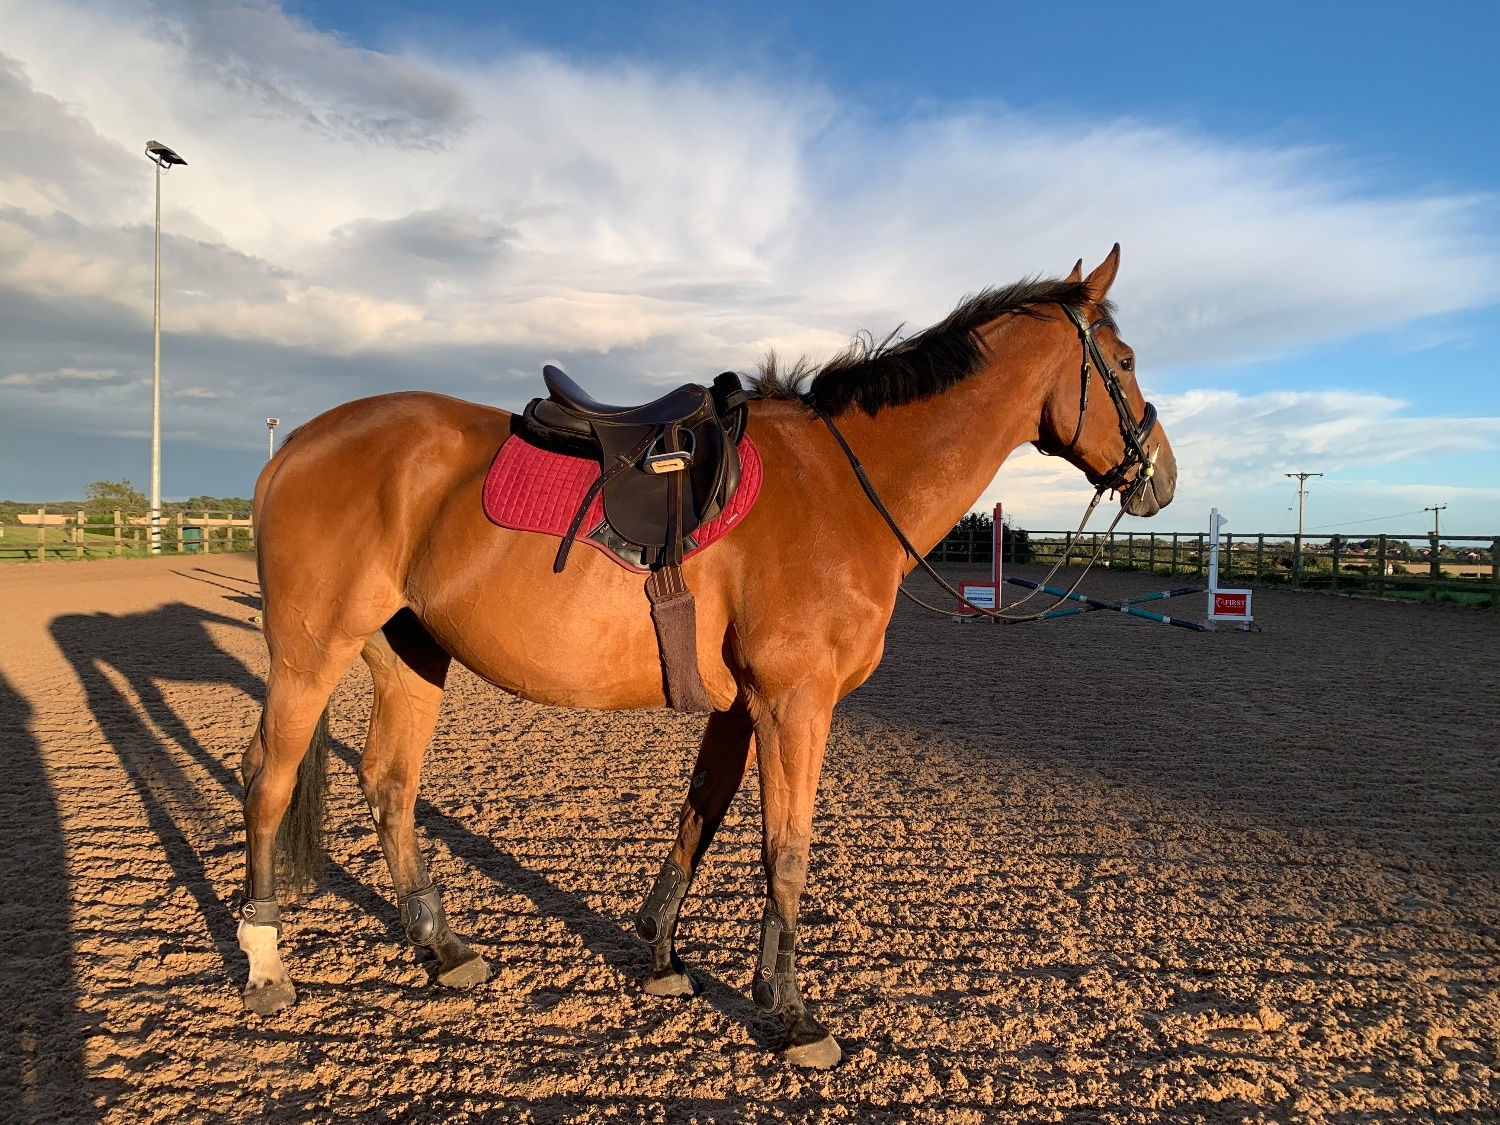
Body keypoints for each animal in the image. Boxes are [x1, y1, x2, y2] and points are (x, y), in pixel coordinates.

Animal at [236, 246, 1176, 1069]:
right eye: (1125, 361)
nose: (1161, 477)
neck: (844, 485)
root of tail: (296, 443)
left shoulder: (740, 706)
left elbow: (700, 816)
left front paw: (660, 953)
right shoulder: (794, 703)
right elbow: (785, 850)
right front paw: (791, 1012)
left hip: (409, 657)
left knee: (390, 784)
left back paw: (441, 945)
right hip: (310, 653)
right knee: (269, 779)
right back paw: (265, 961)